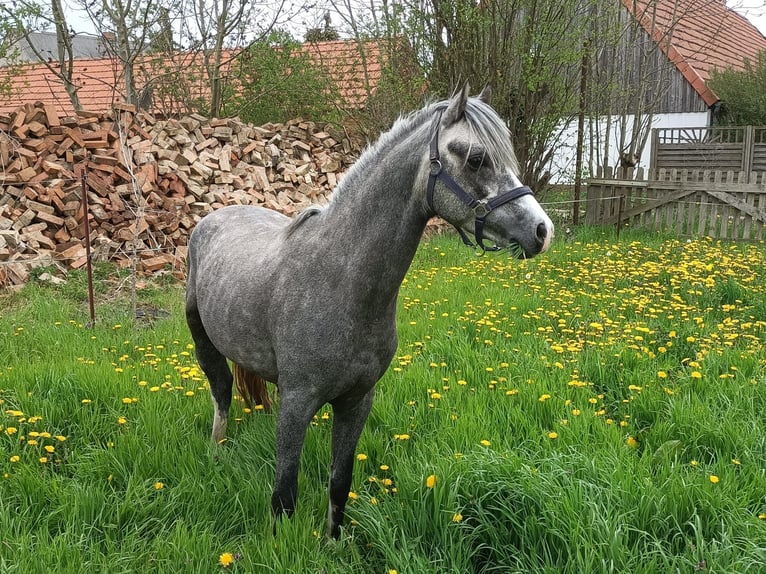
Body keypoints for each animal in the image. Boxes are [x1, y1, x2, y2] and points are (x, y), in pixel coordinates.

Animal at [188, 85, 560, 540]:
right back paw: (217, 453)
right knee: (221, 394)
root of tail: (215, 217)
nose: (542, 231)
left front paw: (333, 542)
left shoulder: (357, 401)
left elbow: (339, 481)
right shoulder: (297, 401)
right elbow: (284, 493)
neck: (340, 280)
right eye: (476, 158)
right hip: (204, 344)